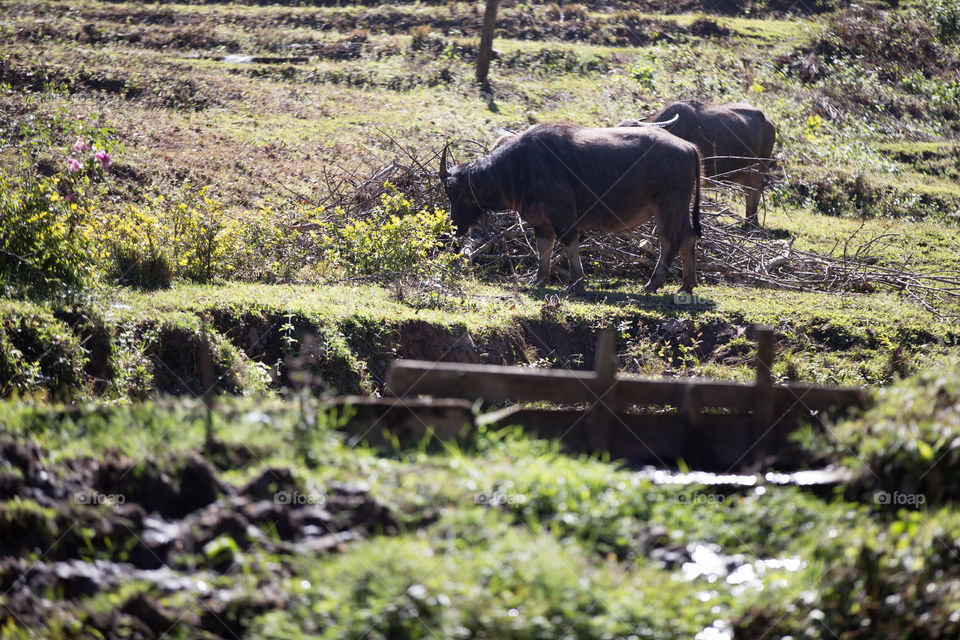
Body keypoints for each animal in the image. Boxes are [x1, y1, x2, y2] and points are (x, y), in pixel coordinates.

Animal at [438, 124, 700, 294]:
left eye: (454, 192)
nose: (454, 225)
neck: (519, 167)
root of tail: (689, 147)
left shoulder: (563, 216)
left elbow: (569, 245)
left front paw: (576, 284)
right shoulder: (541, 222)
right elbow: (544, 248)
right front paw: (539, 280)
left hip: (668, 207)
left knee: (670, 241)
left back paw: (652, 284)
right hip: (680, 209)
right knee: (688, 238)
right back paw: (686, 285)